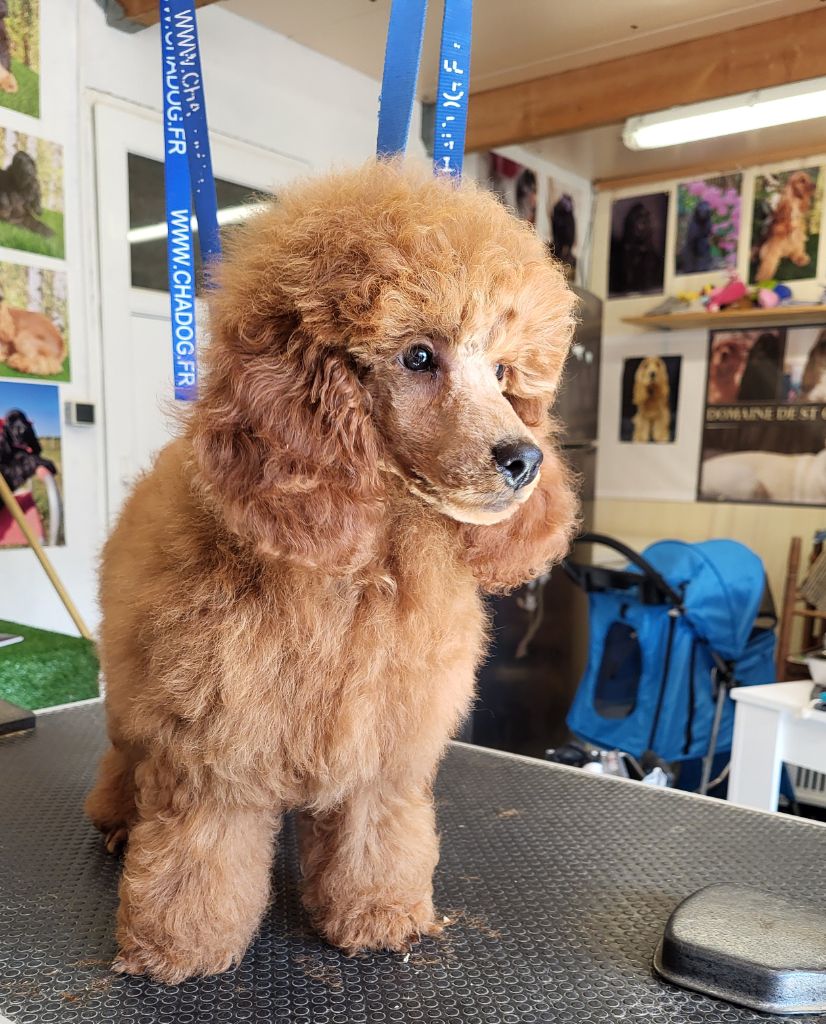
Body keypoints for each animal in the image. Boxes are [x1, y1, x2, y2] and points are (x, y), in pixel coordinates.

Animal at [83, 159, 573, 983]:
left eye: (505, 372)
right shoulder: (214, 749)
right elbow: (198, 852)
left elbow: (376, 836)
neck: (357, 567)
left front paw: (377, 915)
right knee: (125, 758)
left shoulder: (382, 746)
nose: (523, 460)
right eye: (418, 356)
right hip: (135, 702)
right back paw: (118, 819)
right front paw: (177, 946)